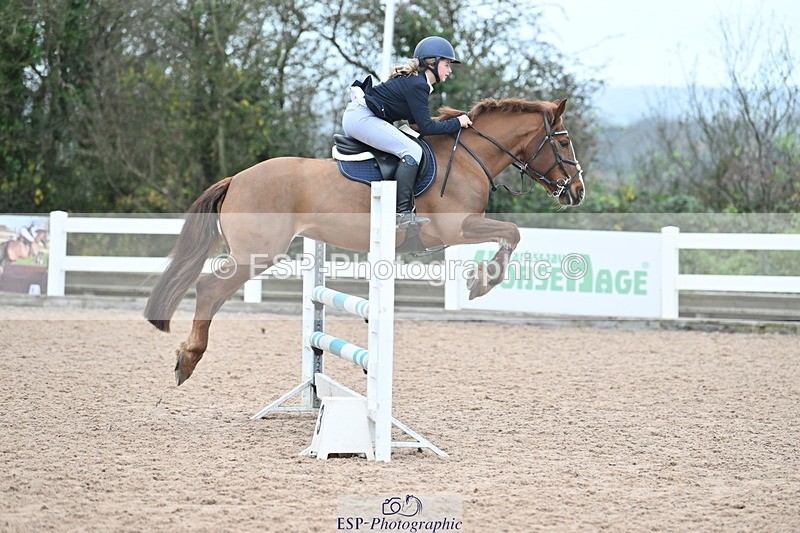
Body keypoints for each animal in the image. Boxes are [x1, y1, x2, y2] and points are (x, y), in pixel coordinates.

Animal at [145, 97, 585, 385]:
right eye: (564, 142)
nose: (577, 191)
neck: (467, 158)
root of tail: (237, 178)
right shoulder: (458, 227)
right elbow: (512, 232)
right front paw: (483, 282)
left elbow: (510, 233)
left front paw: (480, 280)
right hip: (257, 253)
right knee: (209, 288)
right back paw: (188, 359)